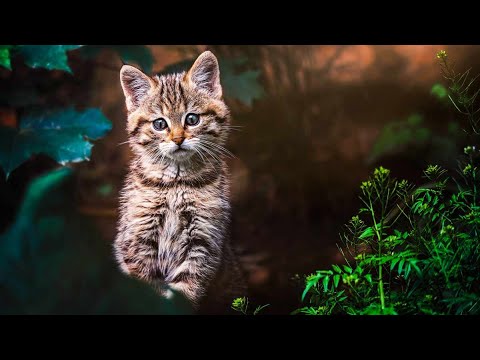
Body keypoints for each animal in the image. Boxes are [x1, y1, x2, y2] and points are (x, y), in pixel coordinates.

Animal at [114, 50, 246, 312]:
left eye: (192, 119)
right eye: (159, 124)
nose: (177, 139)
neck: (176, 183)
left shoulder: (204, 241)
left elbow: (185, 292)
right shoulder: (137, 240)